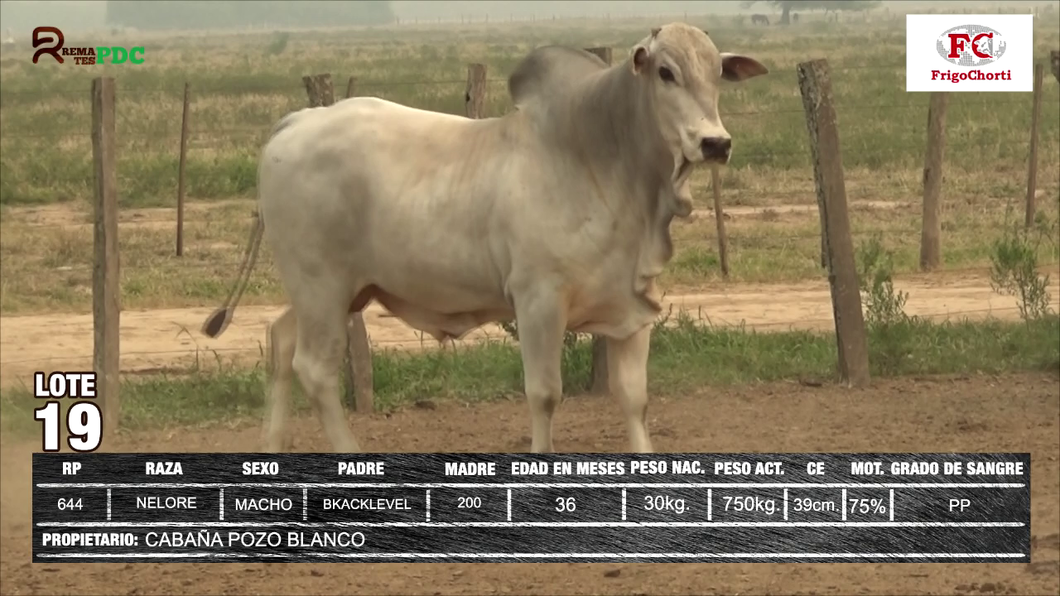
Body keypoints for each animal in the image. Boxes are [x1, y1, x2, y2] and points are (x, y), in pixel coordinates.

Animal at [202, 22, 767, 449]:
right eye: (666, 72)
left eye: (717, 74)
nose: (715, 143)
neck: (601, 159)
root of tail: (298, 121)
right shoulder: (538, 301)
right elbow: (545, 394)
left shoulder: (631, 309)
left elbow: (634, 399)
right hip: (322, 286)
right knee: (315, 369)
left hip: (337, 291)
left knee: (279, 341)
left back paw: (273, 446)